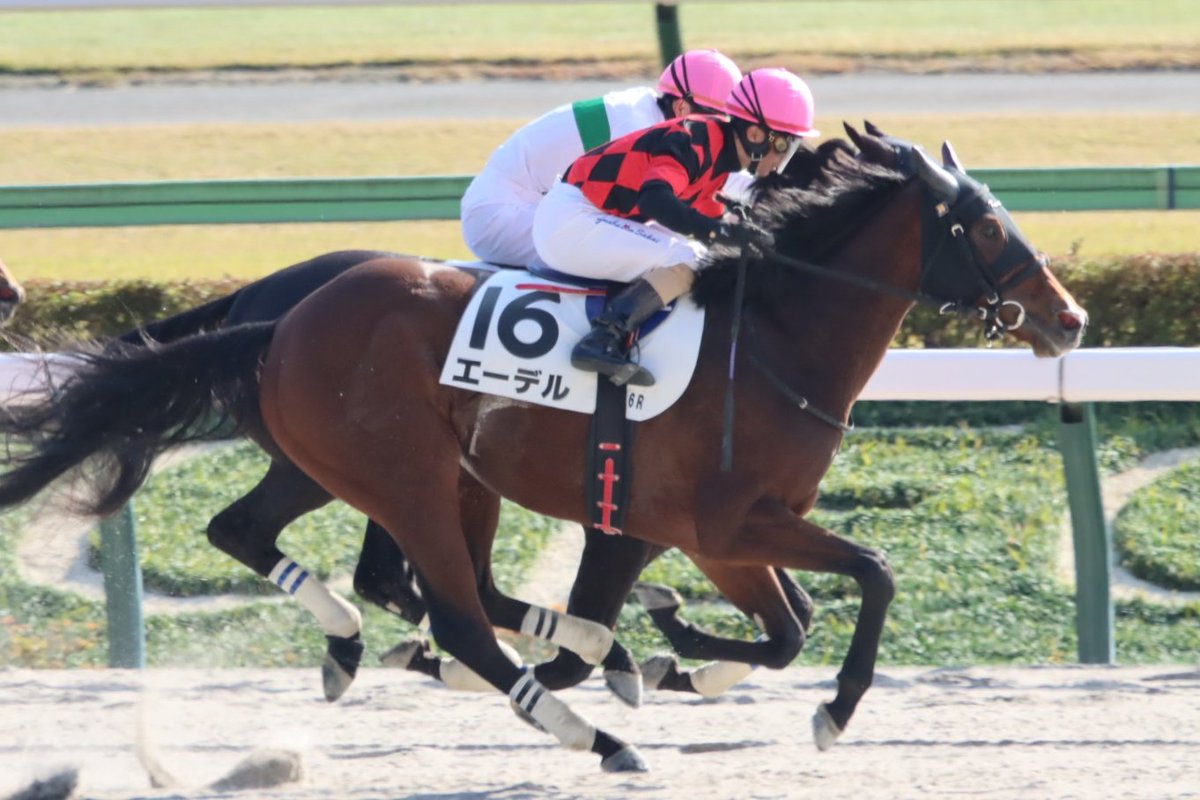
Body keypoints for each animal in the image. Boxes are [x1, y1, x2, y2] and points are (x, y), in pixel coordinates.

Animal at [0, 128, 1086, 771]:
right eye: (990, 226)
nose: (1068, 317)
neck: (772, 337)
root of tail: (281, 315)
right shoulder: (724, 521)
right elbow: (873, 571)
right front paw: (832, 708)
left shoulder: (707, 533)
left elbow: (790, 624)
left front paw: (673, 652)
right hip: (406, 475)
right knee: (451, 605)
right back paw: (589, 733)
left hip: (389, 469)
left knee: (304, 547)